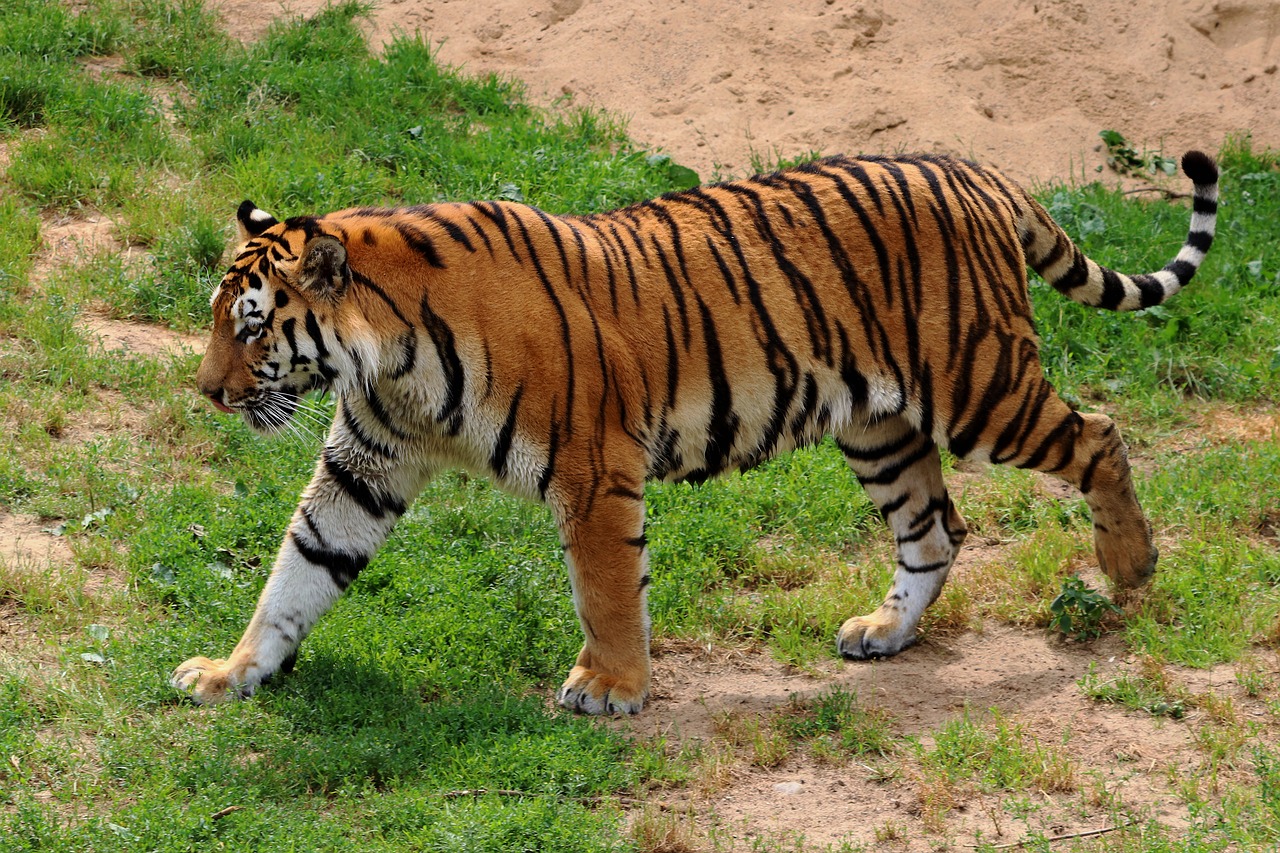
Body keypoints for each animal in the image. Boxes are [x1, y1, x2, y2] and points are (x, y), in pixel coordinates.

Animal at [172, 151, 1218, 712]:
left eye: (253, 326)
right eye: (222, 319)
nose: (208, 391)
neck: (389, 361)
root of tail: (976, 169)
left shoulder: (593, 471)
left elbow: (604, 591)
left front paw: (611, 686)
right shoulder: (367, 464)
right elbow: (296, 573)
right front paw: (233, 671)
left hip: (979, 387)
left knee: (1099, 434)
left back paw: (1130, 565)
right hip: (879, 426)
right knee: (935, 530)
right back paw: (883, 631)